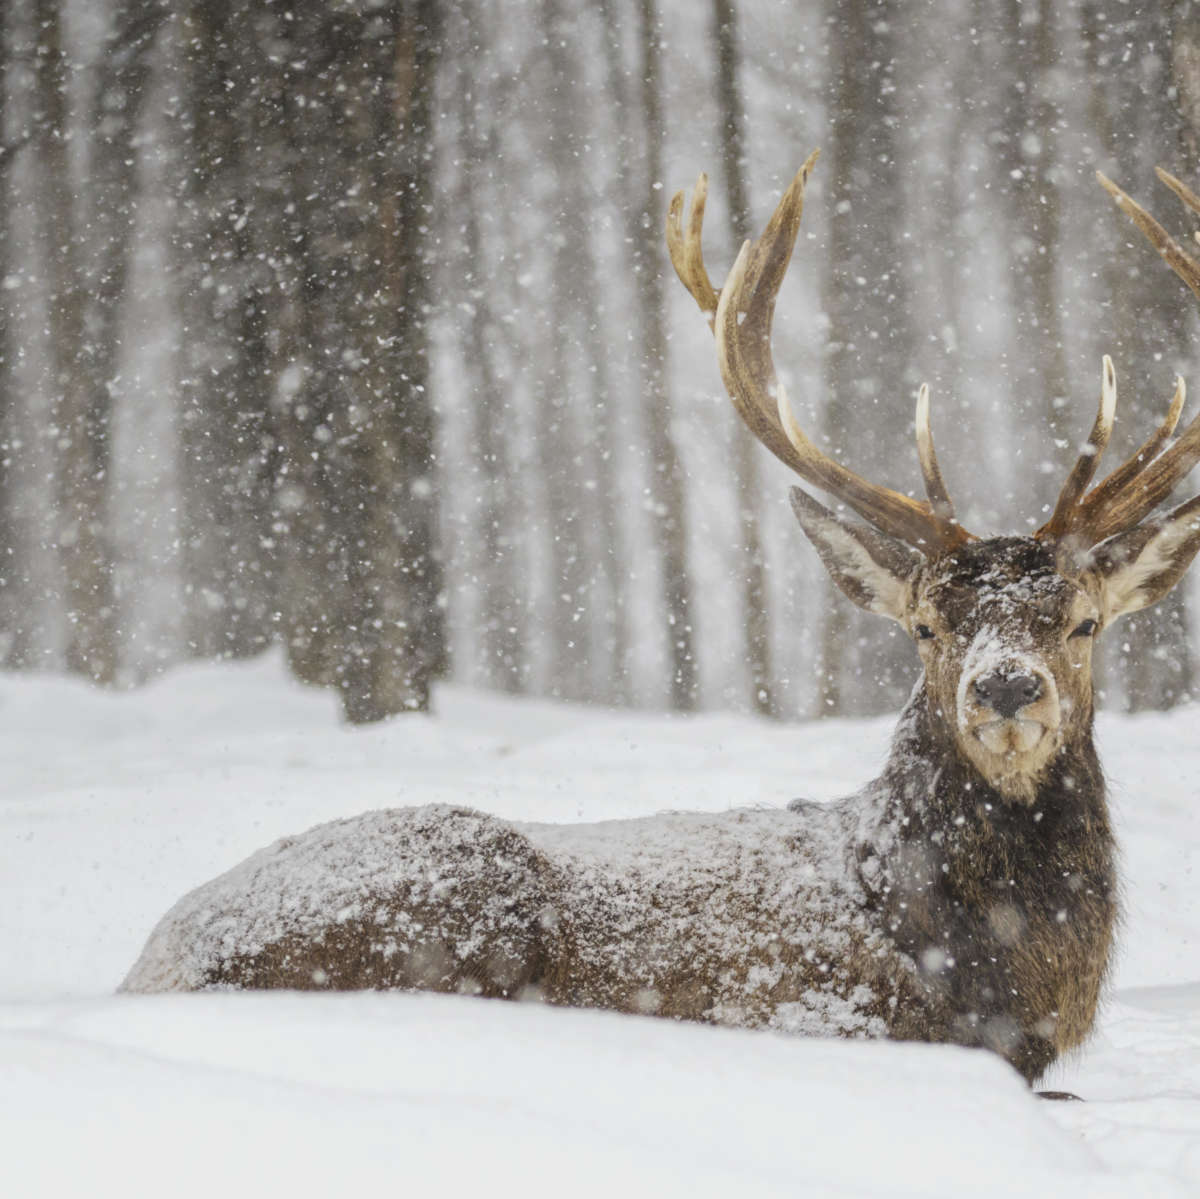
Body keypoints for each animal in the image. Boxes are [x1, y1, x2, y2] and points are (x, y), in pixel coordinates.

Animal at [122, 157, 1200, 1093]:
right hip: (454, 895)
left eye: (1085, 622)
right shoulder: (823, 1013)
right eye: (928, 625)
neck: (996, 972)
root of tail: (152, 966)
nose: (1006, 686)